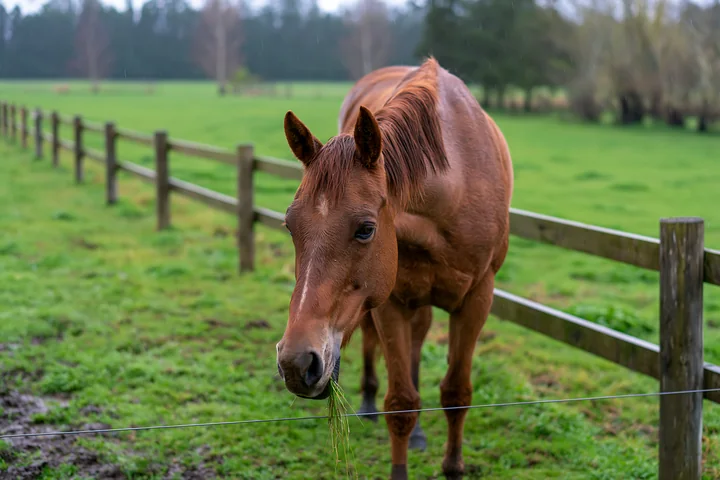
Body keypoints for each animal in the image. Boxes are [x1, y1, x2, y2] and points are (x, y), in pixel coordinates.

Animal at [275, 57, 513, 480]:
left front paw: (453, 465)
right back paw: (369, 401)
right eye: (290, 225)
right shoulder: (389, 301)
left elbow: (456, 392)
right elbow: (401, 402)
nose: (295, 362)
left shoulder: (476, 300)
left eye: (365, 229)